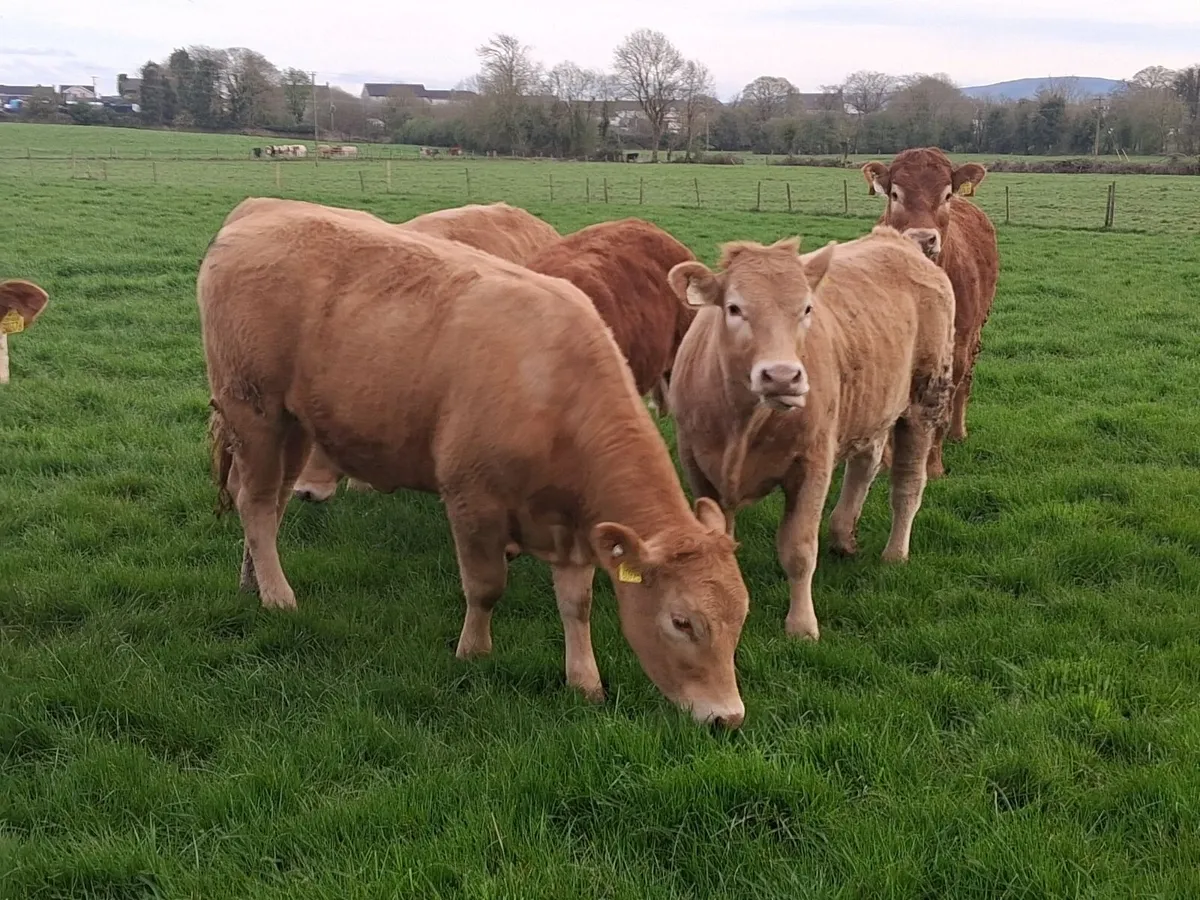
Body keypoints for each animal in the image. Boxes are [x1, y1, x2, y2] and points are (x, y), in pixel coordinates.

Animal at [666, 227, 955, 641]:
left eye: (806, 309)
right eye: (734, 308)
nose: (782, 376)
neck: (743, 422)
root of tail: (898, 240)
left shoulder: (812, 465)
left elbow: (799, 550)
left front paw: (801, 625)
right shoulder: (698, 468)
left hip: (925, 399)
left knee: (908, 483)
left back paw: (895, 553)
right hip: (872, 406)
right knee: (865, 465)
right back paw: (842, 535)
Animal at [861, 148, 999, 478]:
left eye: (946, 194)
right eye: (895, 194)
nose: (923, 239)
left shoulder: (956, 344)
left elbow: (943, 403)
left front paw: (933, 465)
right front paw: (887, 460)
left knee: (966, 381)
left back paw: (958, 432)